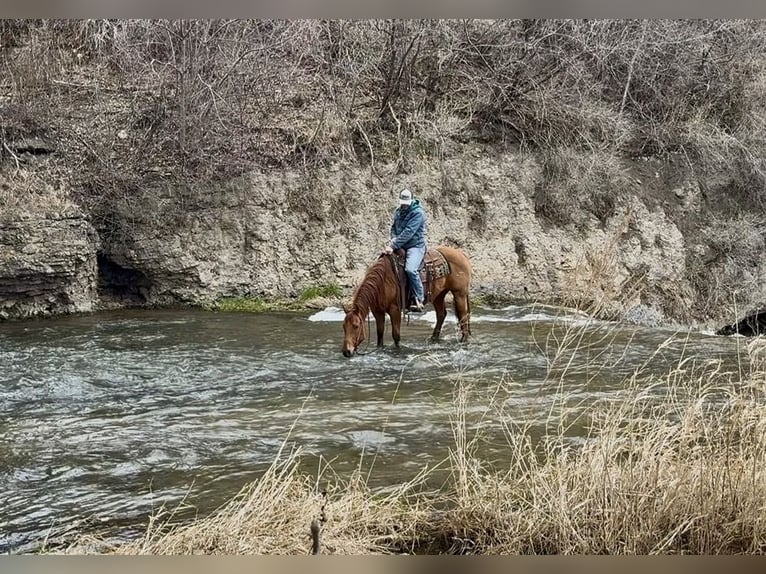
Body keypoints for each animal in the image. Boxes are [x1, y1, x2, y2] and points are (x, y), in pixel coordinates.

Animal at [341, 245, 472, 357]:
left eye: (356, 326)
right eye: (343, 326)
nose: (346, 352)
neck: (383, 282)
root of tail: (461, 254)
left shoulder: (395, 310)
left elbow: (396, 335)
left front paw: (398, 351)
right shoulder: (377, 311)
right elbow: (380, 333)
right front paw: (380, 349)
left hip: (459, 294)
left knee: (463, 316)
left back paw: (463, 340)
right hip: (438, 295)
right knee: (441, 314)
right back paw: (433, 339)